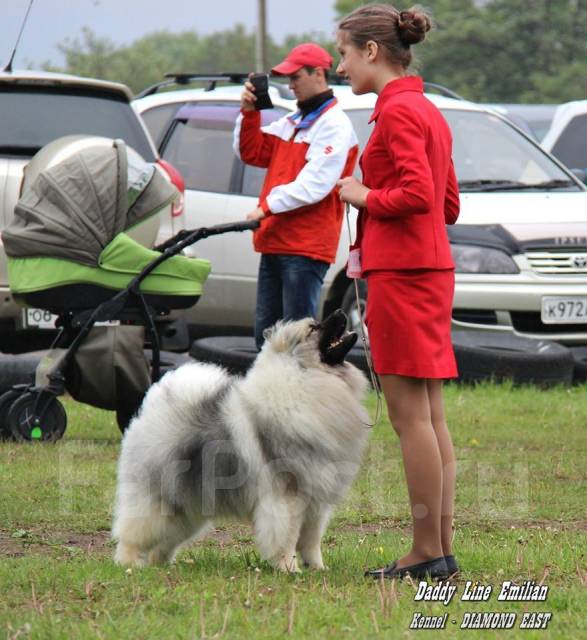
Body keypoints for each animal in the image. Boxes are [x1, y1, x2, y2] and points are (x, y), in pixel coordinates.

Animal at [112, 308, 370, 568]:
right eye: (314, 328)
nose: (340, 311)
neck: (306, 375)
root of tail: (155, 405)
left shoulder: (316, 501)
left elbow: (311, 540)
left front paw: (317, 568)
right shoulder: (287, 498)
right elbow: (286, 538)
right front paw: (288, 567)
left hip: (187, 504)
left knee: (166, 539)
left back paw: (161, 565)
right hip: (158, 498)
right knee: (134, 532)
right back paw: (129, 564)